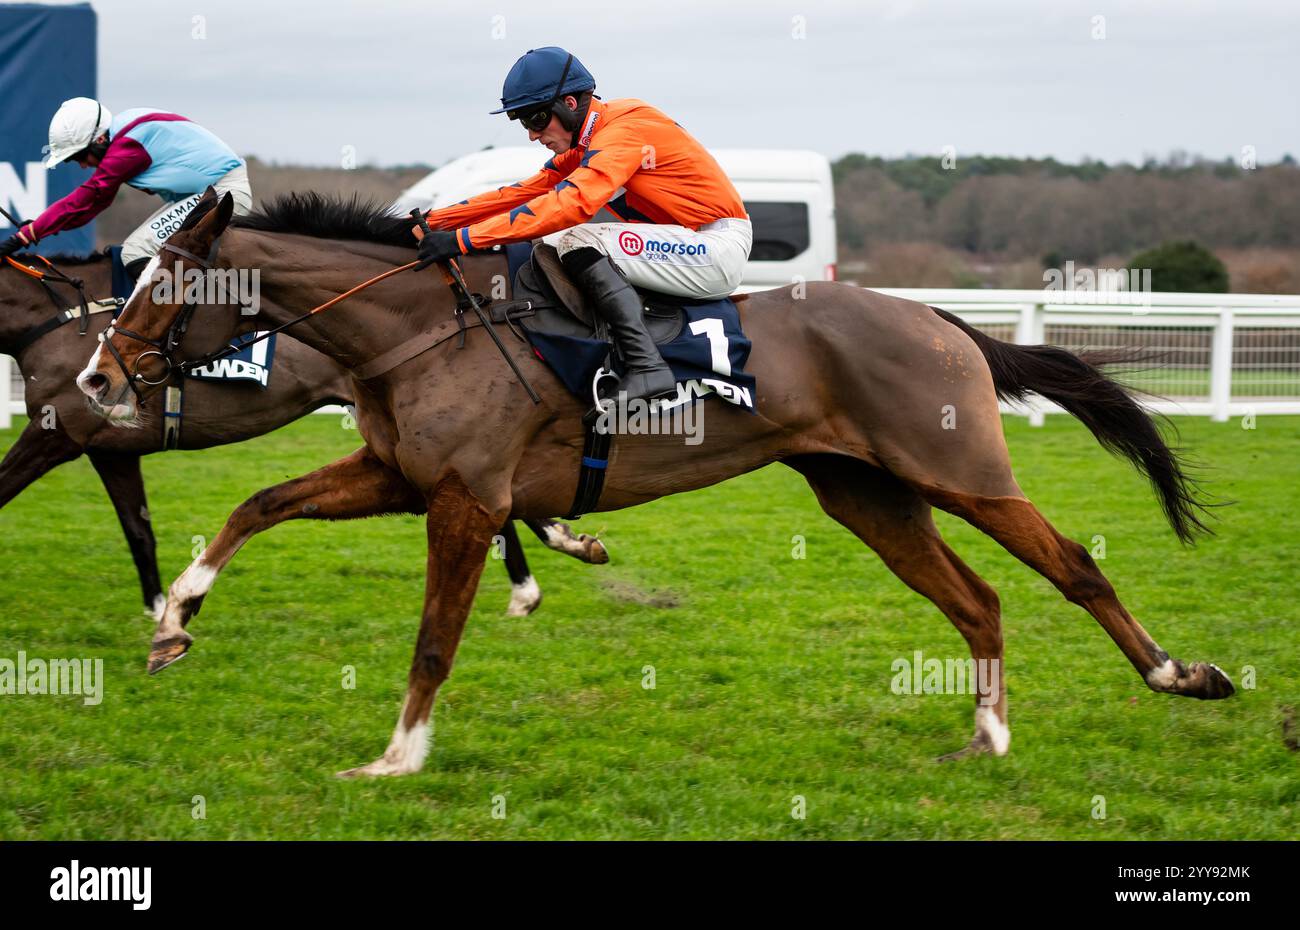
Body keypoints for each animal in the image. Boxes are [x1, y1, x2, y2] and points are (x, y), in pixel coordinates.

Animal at [0, 247, 603, 619]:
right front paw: (159, 609)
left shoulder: (56, 435)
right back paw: (558, 547)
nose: (95, 377)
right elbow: (137, 530)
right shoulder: (109, 449)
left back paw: (537, 574)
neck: (56, 321)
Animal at [76, 195, 1232, 780]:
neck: (422, 328)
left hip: (957, 472)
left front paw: (398, 755)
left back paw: (1181, 673)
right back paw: (987, 734)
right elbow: (254, 507)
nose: (94, 378)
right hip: (865, 494)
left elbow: (435, 638)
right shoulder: (399, 475)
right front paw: (174, 621)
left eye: (165, 283)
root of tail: (938, 317)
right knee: (976, 597)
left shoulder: (464, 499)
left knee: (1073, 567)